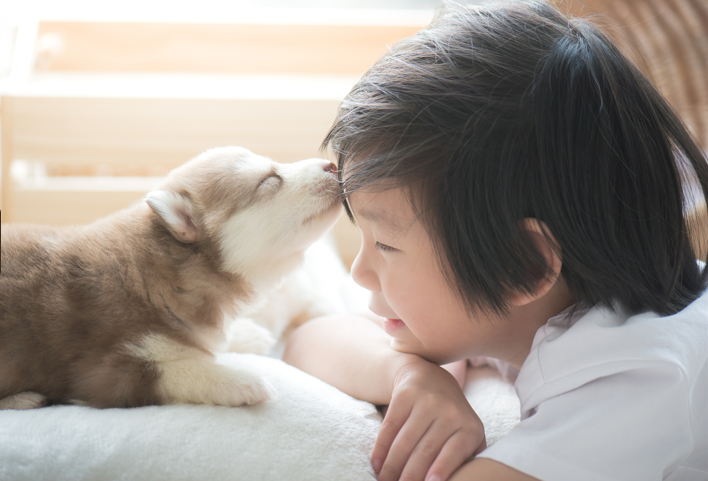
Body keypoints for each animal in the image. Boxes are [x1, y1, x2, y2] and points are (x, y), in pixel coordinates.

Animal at [0, 145, 342, 408]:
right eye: (269, 180)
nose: (333, 165)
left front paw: (246, 335)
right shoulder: (108, 373)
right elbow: (182, 369)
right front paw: (243, 380)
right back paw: (23, 399)